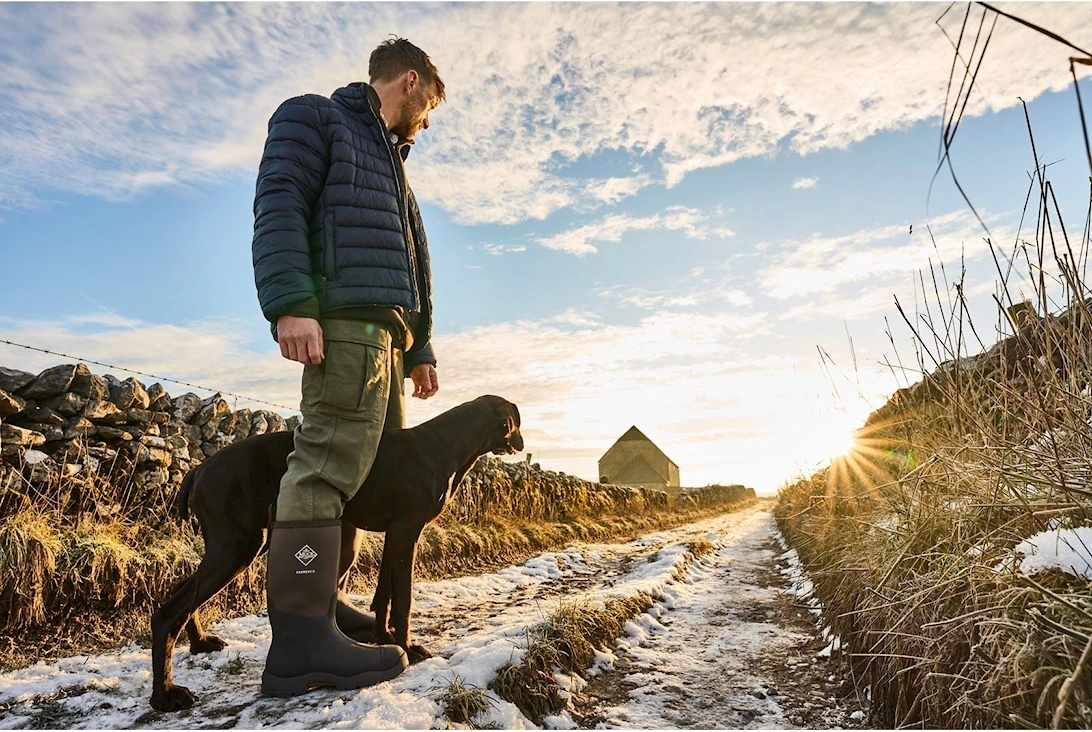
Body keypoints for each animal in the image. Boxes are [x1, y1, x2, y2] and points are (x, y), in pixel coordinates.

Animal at [149, 397, 519, 712]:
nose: (521, 442)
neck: (445, 445)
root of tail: (198, 470)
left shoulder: (394, 535)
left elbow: (384, 597)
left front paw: (384, 639)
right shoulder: (407, 532)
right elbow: (404, 601)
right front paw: (410, 648)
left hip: (239, 543)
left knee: (183, 594)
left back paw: (199, 642)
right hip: (238, 545)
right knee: (168, 611)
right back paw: (165, 695)